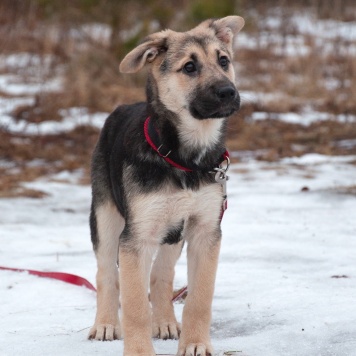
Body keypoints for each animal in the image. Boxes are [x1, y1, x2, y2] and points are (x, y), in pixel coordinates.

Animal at [89, 15, 245, 354]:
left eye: (223, 61)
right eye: (189, 67)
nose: (228, 92)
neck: (185, 159)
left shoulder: (205, 231)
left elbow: (200, 298)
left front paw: (195, 343)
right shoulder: (136, 238)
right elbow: (134, 306)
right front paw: (138, 351)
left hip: (173, 234)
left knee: (161, 277)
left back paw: (164, 321)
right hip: (105, 218)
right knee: (106, 274)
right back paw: (105, 324)